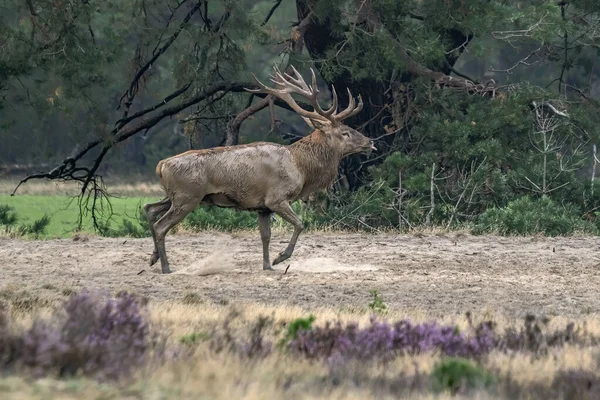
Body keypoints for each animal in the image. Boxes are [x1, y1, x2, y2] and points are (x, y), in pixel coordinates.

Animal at [144, 65, 376, 274]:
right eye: (345, 132)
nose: (370, 141)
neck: (301, 169)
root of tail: (161, 165)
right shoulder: (276, 198)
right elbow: (300, 224)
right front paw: (280, 258)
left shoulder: (263, 207)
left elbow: (265, 236)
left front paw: (267, 265)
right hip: (188, 196)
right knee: (161, 225)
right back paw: (166, 267)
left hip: (176, 196)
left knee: (149, 208)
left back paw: (153, 258)